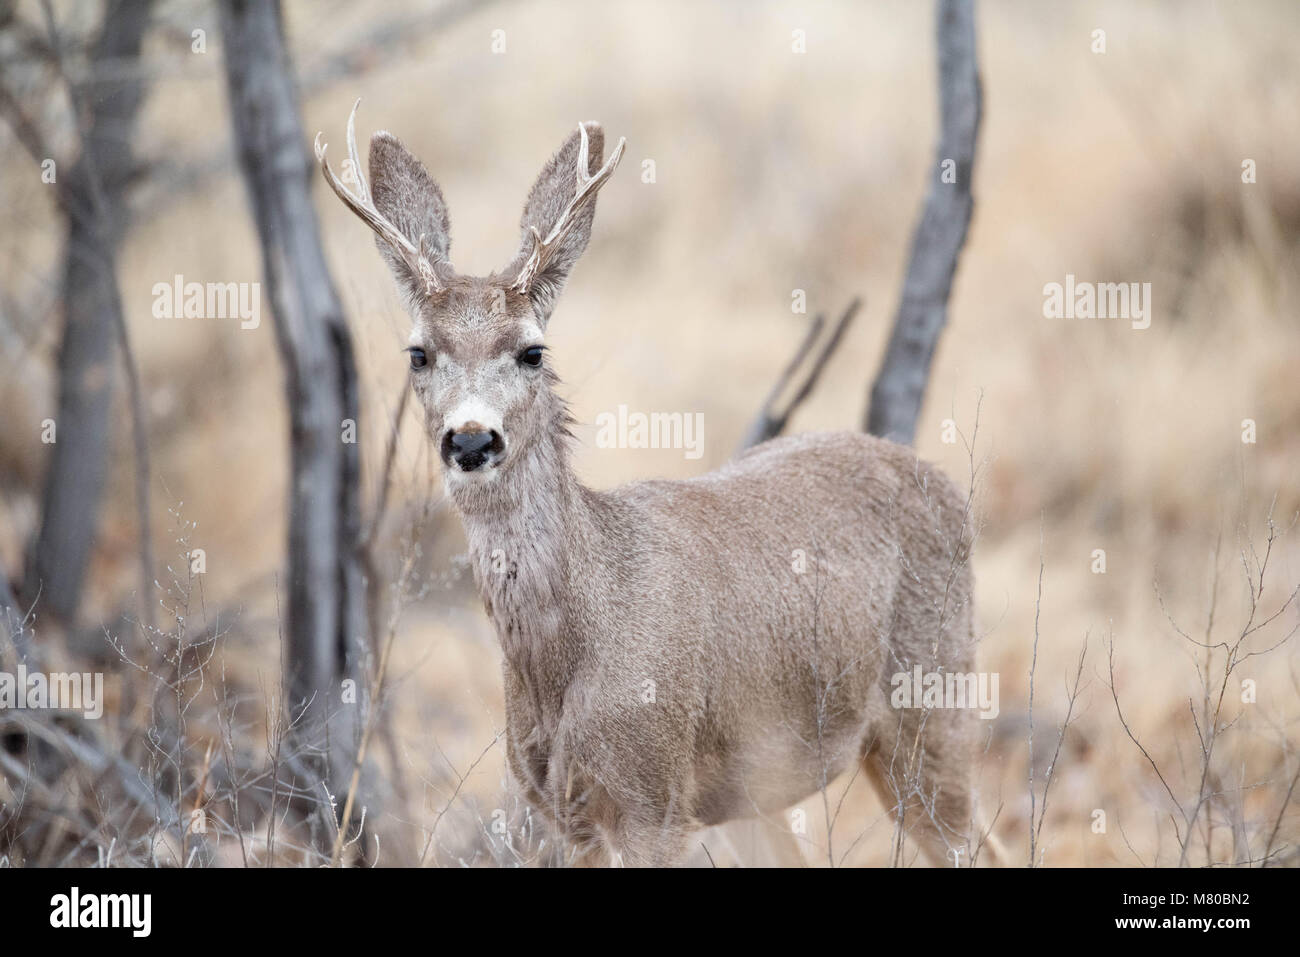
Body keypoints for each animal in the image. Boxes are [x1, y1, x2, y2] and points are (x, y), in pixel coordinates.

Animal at [319, 104, 987, 868]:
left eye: (532, 350)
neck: (572, 648)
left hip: (933, 694)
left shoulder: (654, 795)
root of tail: (944, 486)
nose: (471, 439)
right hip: (763, 791)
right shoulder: (560, 809)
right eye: (419, 353)